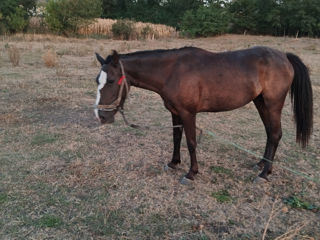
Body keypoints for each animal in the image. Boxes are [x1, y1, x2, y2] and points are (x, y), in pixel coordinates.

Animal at [92, 46, 312, 182]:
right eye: (97, 80)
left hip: (273, 104)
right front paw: (173, 163)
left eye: (111, 81)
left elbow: (191, 142)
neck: (171, 71)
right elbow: (176, 137)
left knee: (275, 134)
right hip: (261, 103)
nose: (101, 116)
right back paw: (262, 164)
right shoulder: (175, 112)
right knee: (269, 133)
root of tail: (284, 56)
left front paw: (191, 173)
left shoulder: (188, 113)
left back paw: (265, 174)